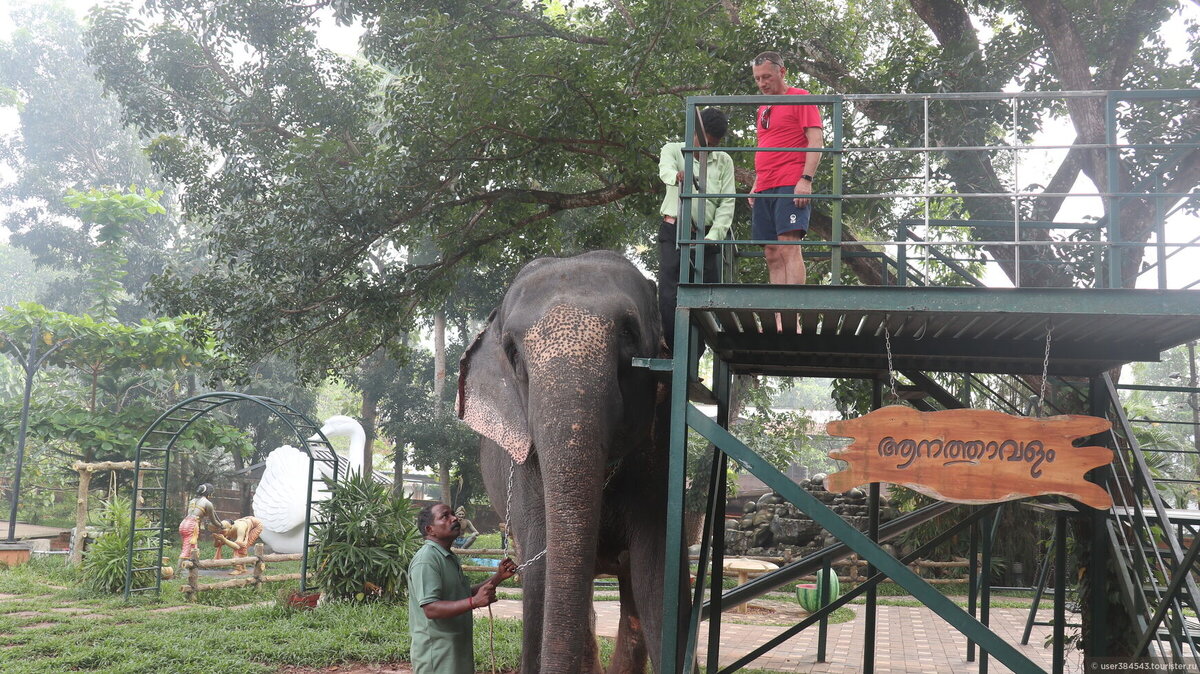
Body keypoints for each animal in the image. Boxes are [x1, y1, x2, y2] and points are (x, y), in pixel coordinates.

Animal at [456, 249, 686, 666]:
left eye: (628, 333)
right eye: (513, 352)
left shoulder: (658, 450)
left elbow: (656, 574)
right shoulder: (526, 468)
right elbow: (541, 573)